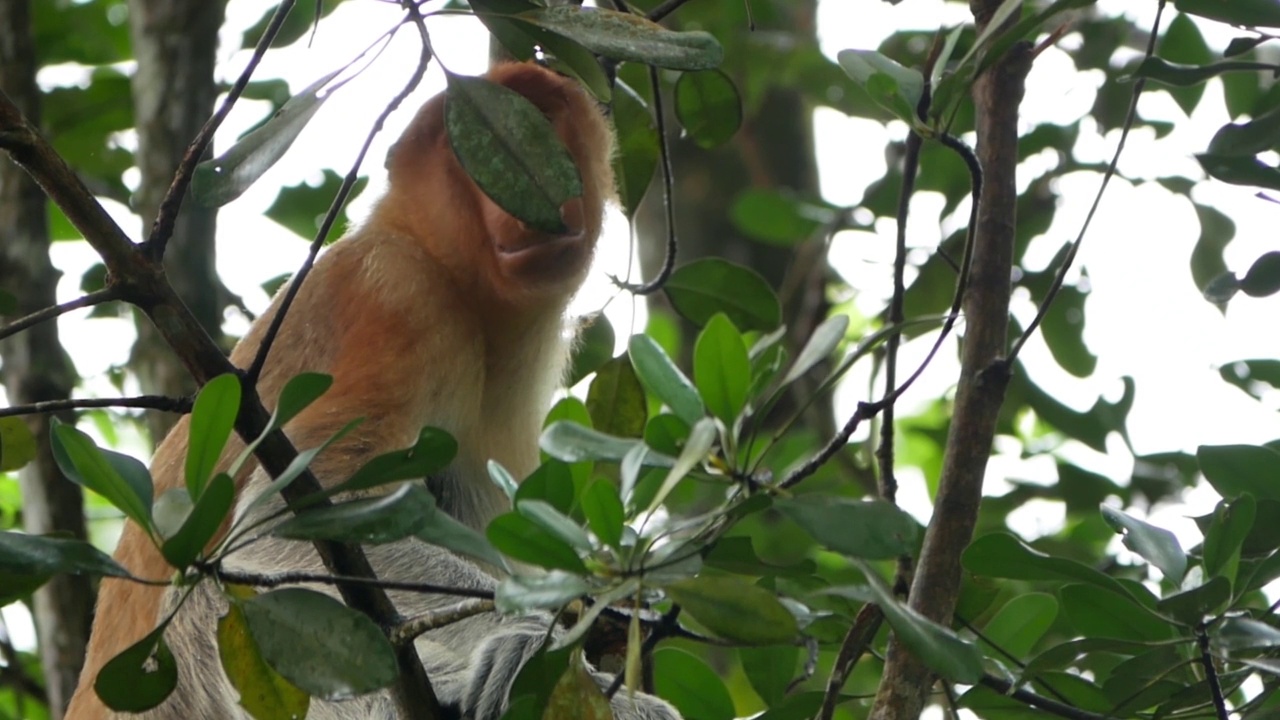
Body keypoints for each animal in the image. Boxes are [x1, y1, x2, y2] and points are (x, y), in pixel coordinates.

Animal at [63, 61, 680, 717]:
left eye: (540, 131)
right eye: (475, 150)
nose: (526, 198)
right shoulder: (400, 298)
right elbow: (290, 519)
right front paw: (529, 643)